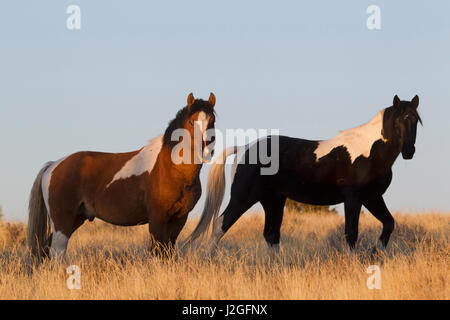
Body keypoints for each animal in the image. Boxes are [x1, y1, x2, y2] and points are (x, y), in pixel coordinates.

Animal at [28, 92, 218, 260]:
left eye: (212, 121)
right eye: (191, 121)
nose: (205, 152)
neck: (170, 169)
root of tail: (53, 166)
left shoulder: (179, 219)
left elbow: (167, 252)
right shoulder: (157, 218)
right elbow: (157, 252)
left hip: (75, 218)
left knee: (46, 249)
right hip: (62, 222)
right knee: (57, 252)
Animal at [186, 95, 422, 252]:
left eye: (416, 120)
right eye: (398, 121)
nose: (409, 151)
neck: (368, 150)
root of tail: (245, 148)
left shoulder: (372, 197)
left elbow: (389, 223)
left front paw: (377, 252)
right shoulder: (353, 199)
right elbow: (351, 234)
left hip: (273, 200)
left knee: (271, 235)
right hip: (243, 197)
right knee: (220, 225)